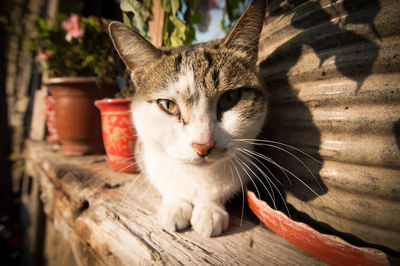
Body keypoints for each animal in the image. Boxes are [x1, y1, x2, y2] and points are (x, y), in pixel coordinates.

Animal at [108, 0, 268, 237]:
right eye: (168, 105)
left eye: (230, 98)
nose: (203, 145)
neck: (197, 176)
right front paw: (175, 205)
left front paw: (210, 209)